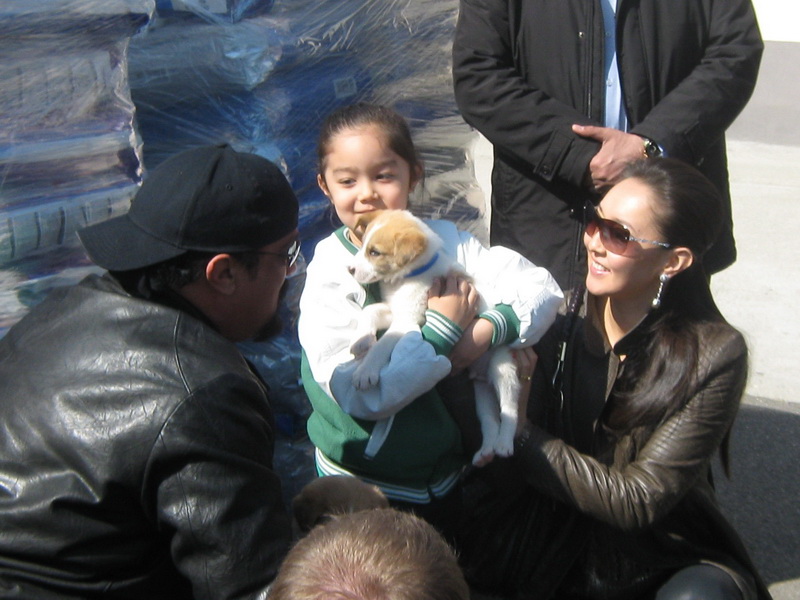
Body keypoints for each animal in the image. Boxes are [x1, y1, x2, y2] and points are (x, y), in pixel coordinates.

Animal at [347, 209, 521, 466]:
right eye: (364, 244)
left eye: (375, 252)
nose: (349, 269)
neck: (408, 278)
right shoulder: (398, 312)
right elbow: (371, 310)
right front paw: (361, 340)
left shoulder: (407, 321)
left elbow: (383, 347)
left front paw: (365, 372)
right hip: (481, 390)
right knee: (490, 419)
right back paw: (485, 451)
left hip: (503, 367)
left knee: (509, 410)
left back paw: (503, 444)